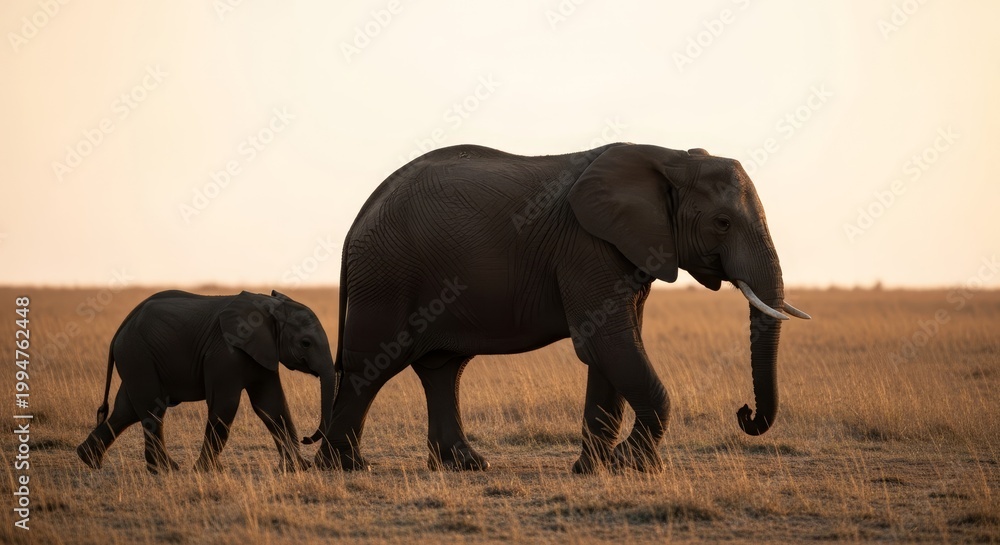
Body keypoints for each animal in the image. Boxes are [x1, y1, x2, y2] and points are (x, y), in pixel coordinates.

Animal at [76, 290, 336, 473]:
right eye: (305, 343)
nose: (306, 438)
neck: (269, 306)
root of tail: (122, 326)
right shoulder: (225, 352)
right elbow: (226, 405)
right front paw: (206, 471)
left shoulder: (262, 351)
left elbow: (272, 405)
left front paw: (297, 469)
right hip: (138, 354)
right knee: (150, 408)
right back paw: (166, 469)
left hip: (135, 357)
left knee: (126, 410)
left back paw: (88, 459)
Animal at [310, 143, 809, 473]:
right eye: (722, 223)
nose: (744, 413)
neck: (669, 157)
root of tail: (363, 212)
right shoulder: (587, 248)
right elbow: (609, 343)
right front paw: (631, 466)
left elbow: (614, 349)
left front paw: (594, 470)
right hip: (387, 275)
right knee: (374, 364)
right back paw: (343, 467)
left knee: (443, 368)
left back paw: (464, 466)